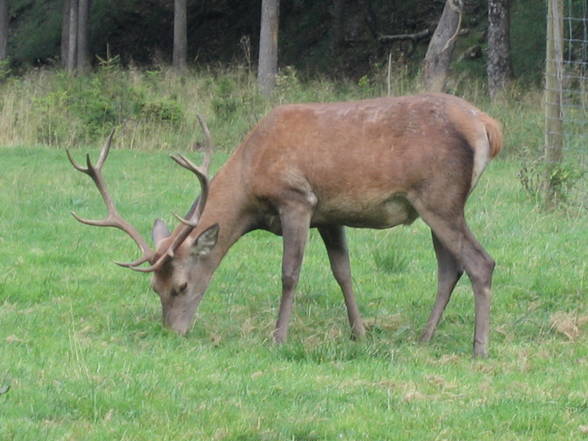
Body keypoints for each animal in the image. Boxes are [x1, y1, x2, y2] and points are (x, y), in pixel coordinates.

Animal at [68, 92, 500, 354]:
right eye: (154, 288)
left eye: (182, 286)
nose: (172, 332)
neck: (250, 178)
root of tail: (487, 125)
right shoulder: (329, 214)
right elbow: (343, 272)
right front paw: (359, 333)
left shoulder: (297, 200)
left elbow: (290, 273)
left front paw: (278, 337)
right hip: (436, 206)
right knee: (450, 267)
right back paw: (425, 337)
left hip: (440, 197)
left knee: (481, 262)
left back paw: (478, 346)